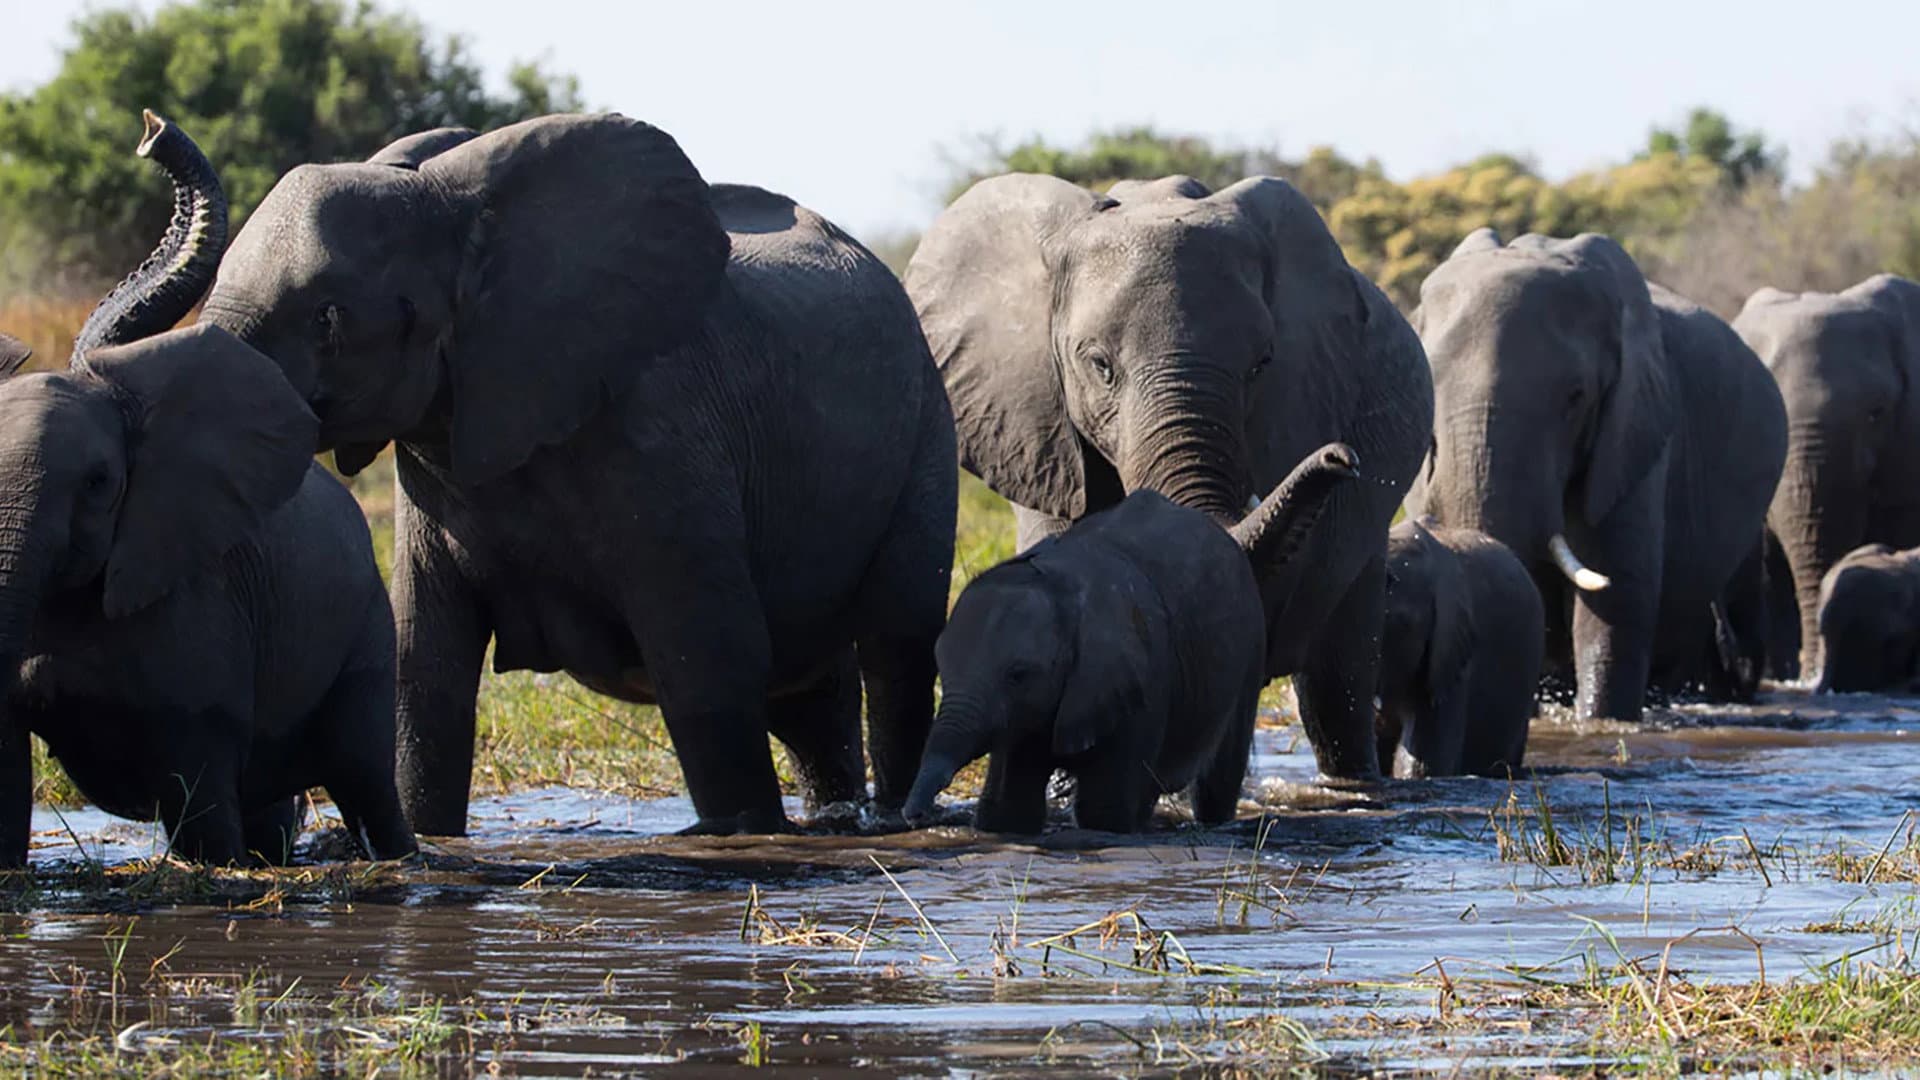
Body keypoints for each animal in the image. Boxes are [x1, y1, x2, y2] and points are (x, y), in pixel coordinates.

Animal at [0, 113, 412, 867]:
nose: (150, 129)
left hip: (366, 622)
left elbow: (199, 784)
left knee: (364, 777)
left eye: (101, 483)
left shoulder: (199, 603)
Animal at [200, 113, 957, 837]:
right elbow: (424, 668)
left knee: (896, 647)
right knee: (807, 690)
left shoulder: (662, 428)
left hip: (925, 424)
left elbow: (706, 658)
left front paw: (743, 834)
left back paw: (896, 819)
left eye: (327, 317)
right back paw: (836, 819)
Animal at [903, 444, 1358, 834]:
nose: (915, 815)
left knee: (1216, 779)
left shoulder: (1137, 685)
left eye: (1018, 675)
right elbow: (1007, 806)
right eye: (941, 670)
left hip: (1245, 655)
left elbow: (1104, 809)